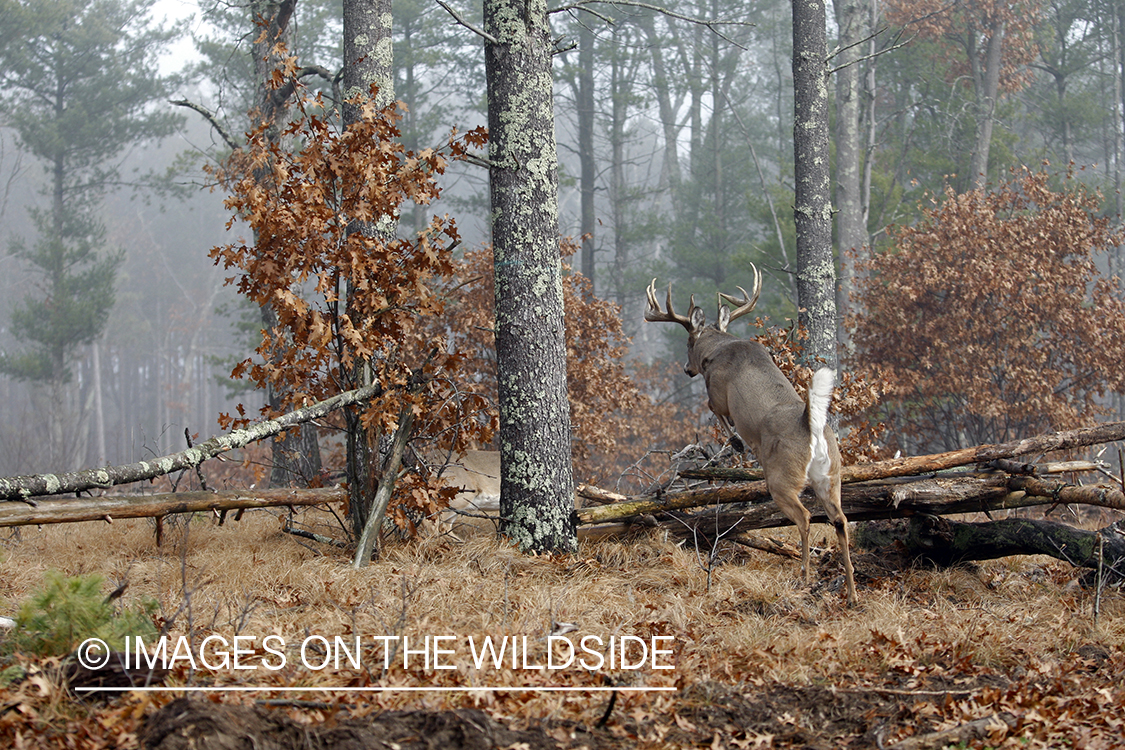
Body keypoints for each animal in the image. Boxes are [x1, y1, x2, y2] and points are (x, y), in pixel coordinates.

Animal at [648, 266, 855, 607]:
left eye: (688, 344)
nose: (687, 369)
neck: (718, 350)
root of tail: (809, 425)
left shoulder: (718, 393)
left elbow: (716, 412)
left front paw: (735, 441)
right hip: (832, 474)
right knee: (840, 519)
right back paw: (851, 592)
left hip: (781, 477)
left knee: (805, 517)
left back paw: (804, 576)